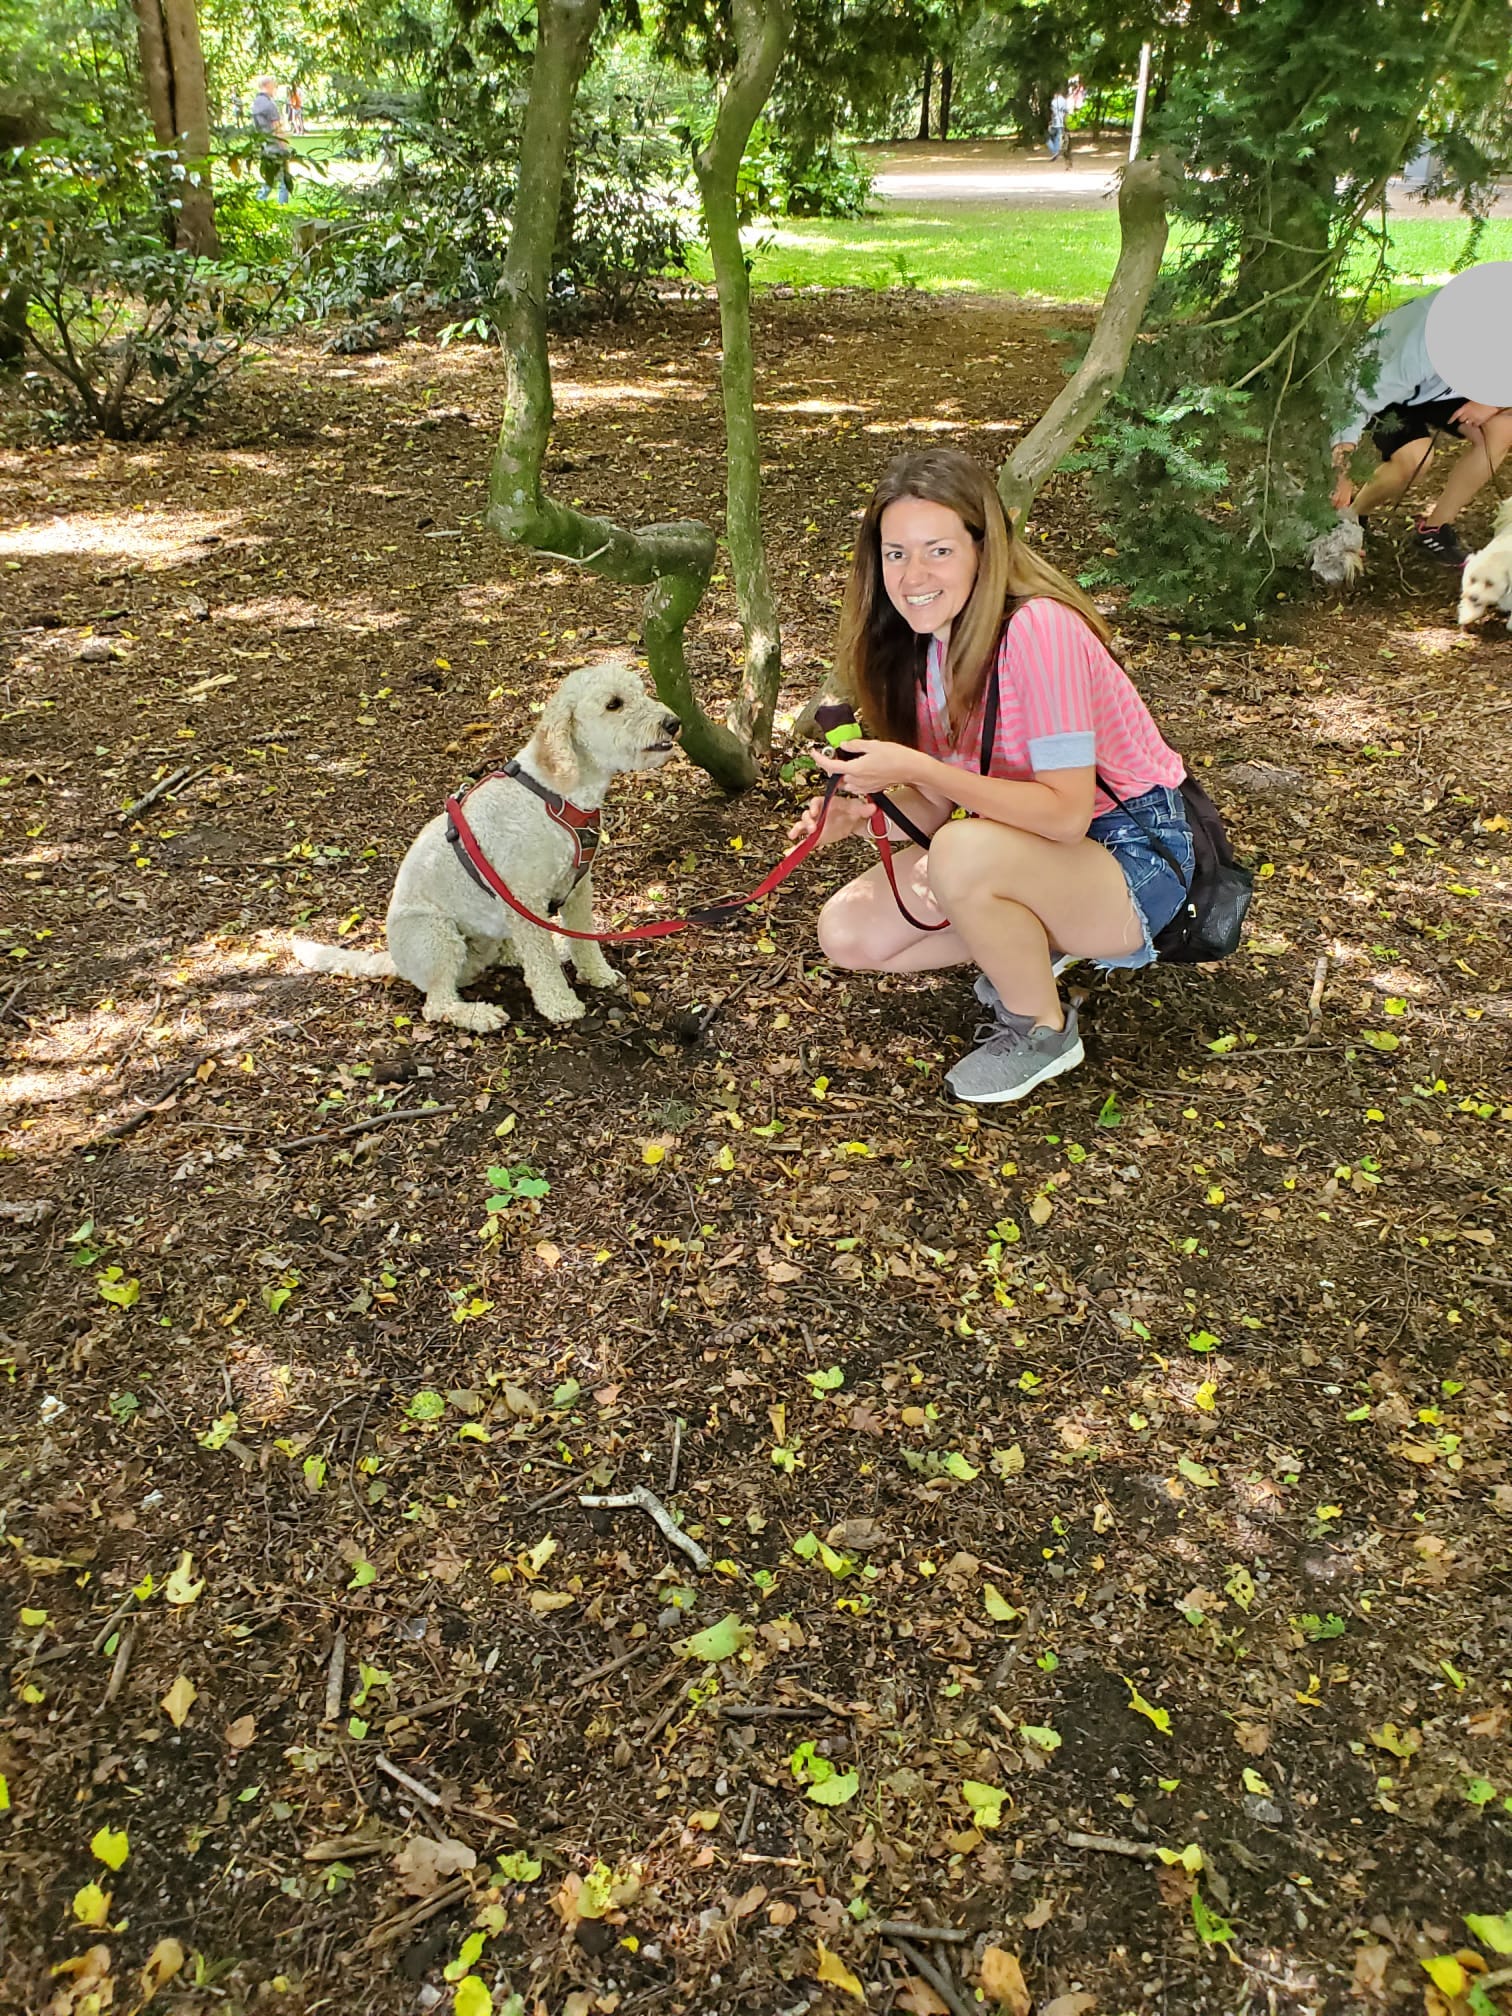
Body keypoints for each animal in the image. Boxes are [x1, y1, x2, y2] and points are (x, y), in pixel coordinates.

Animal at [294, 661, 681, 1032]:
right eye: (613, 704)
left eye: (641, 691)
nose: (674, 723)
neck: (555, 793)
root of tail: (397, 962)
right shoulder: (525, 897)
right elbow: (542, 962)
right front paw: (559, 1005)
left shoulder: (577, 887)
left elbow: (583, 938)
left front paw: (597, 973)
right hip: (437, 935)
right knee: (438, 1004)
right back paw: (478, 1015)